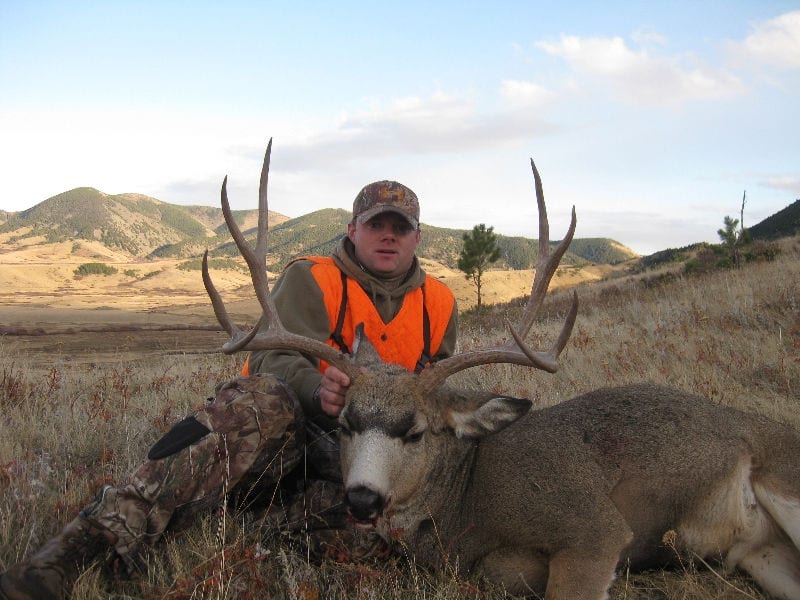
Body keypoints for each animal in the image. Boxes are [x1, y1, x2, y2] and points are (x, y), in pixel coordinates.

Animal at [203, 139, 800, 599]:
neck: (468, 502)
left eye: (416, 432)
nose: (362, 499)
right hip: (762, 555)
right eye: (346, 423)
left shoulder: (595, 528)